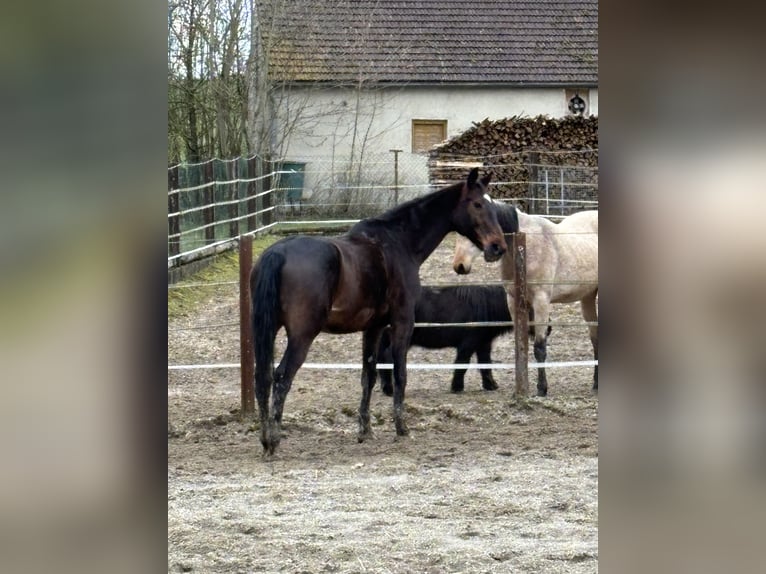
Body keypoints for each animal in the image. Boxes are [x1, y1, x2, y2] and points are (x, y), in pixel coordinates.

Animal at [380, 284, 516, 394]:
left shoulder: (484, 344)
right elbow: (462, 364)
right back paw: (390, 389)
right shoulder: (467, 344)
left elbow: (486, 364)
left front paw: (492, 386)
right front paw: (457, 387)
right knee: (387, 356)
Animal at [456, 205, 600, 398]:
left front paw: (542, 389)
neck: (522, 247)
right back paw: (596, 383)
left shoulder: (541, 301)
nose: (460, 265)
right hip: (588, 296)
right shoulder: (514, 301)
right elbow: (520, 345)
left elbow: (539, 348)